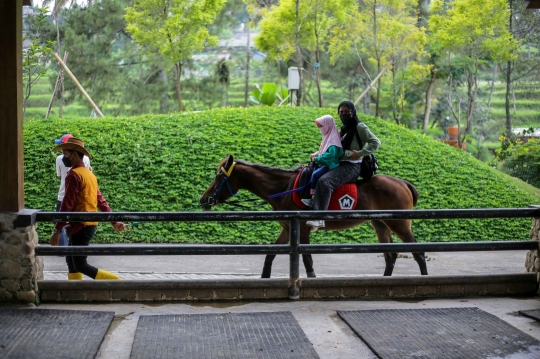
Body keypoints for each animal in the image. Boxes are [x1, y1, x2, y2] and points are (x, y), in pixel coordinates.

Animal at [198, 155, 426, 278]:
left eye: (218, 176)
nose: (204, 199)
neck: (284, 188)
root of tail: (403, 183)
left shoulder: (302, 229)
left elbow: (307, 259)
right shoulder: (288, 229)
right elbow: (270, 255)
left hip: (400, 224)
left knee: (418, 253)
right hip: (380, 223)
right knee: (391, 255)